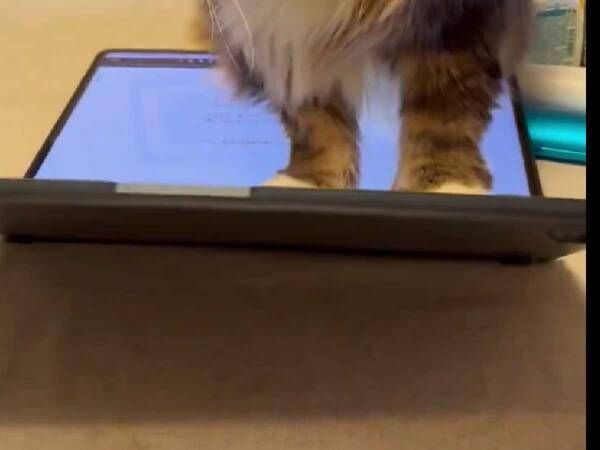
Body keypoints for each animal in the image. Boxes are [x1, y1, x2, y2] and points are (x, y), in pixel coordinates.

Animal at [204, 0, 532, 193]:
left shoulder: (459, 24)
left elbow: (443, 115)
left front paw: (445, 186)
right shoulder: (290, 41)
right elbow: (317, 123)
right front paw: (309, 180)